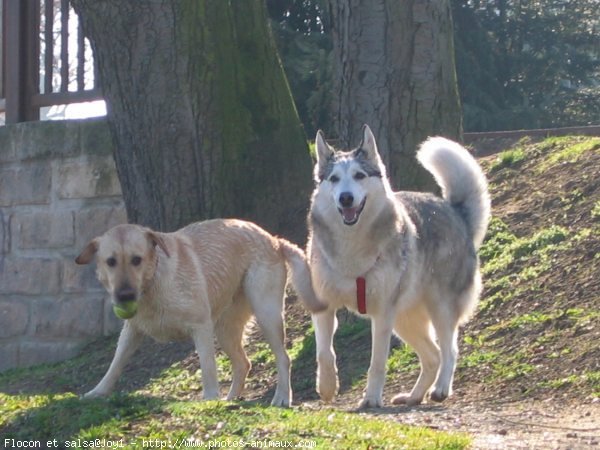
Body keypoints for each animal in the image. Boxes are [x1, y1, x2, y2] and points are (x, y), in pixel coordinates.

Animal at [78, 220, 328, 406]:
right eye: (111, 262)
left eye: (136, 260)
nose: (124, 296)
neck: (153, 282)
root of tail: (273, 239)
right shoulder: (132, 331)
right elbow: (116, 363)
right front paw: (97, 392)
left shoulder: (201, 327)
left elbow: (208, 367)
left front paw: (209, 398)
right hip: (226, 329)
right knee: (243, 363)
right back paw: (230, 400)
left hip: (266, 315)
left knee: (283, 358)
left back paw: (282, 397)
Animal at [308, 125, 490, 408]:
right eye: (334, 179)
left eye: (359, 176)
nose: (346, 198)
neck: (352, 248)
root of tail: (455, 211)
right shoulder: (324, 307)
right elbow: (324, 354)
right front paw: (327, 387)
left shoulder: (382, 315)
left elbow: (377, 364)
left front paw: (371, 398)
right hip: (404, 321)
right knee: (433, 356)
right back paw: (414, 396)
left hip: (439, 309)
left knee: (449, 350)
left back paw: (440, 389)